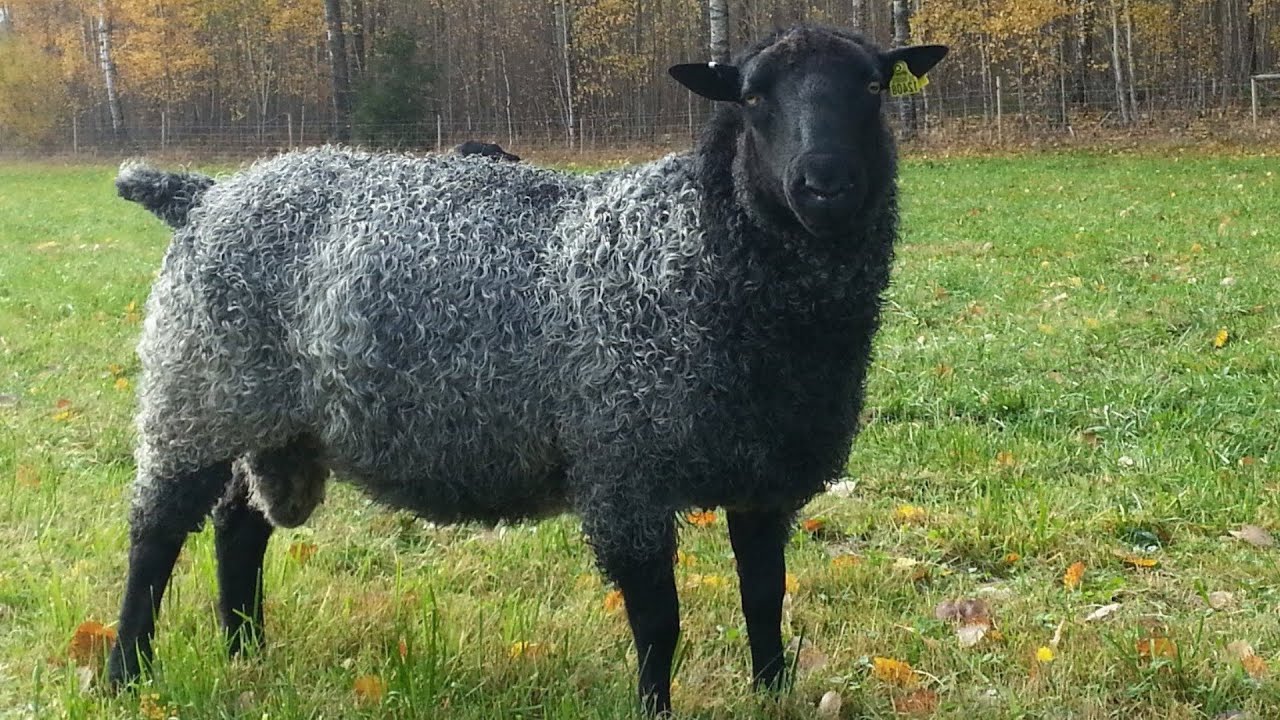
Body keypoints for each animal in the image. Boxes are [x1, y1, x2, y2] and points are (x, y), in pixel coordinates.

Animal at [105, 25, 946, 715]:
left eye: (873, 87)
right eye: (752, 96)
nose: (824, 183)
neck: (694, 249)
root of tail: (206, 192)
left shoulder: (764, 477)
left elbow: (764, 598)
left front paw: (773, 694)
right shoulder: (623, 469)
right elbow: (659, 622)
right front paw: (655, 709)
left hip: (269, 418)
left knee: (237, 526)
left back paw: (246, 652)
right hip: (196, 392)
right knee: (156, 535)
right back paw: (127, 673)